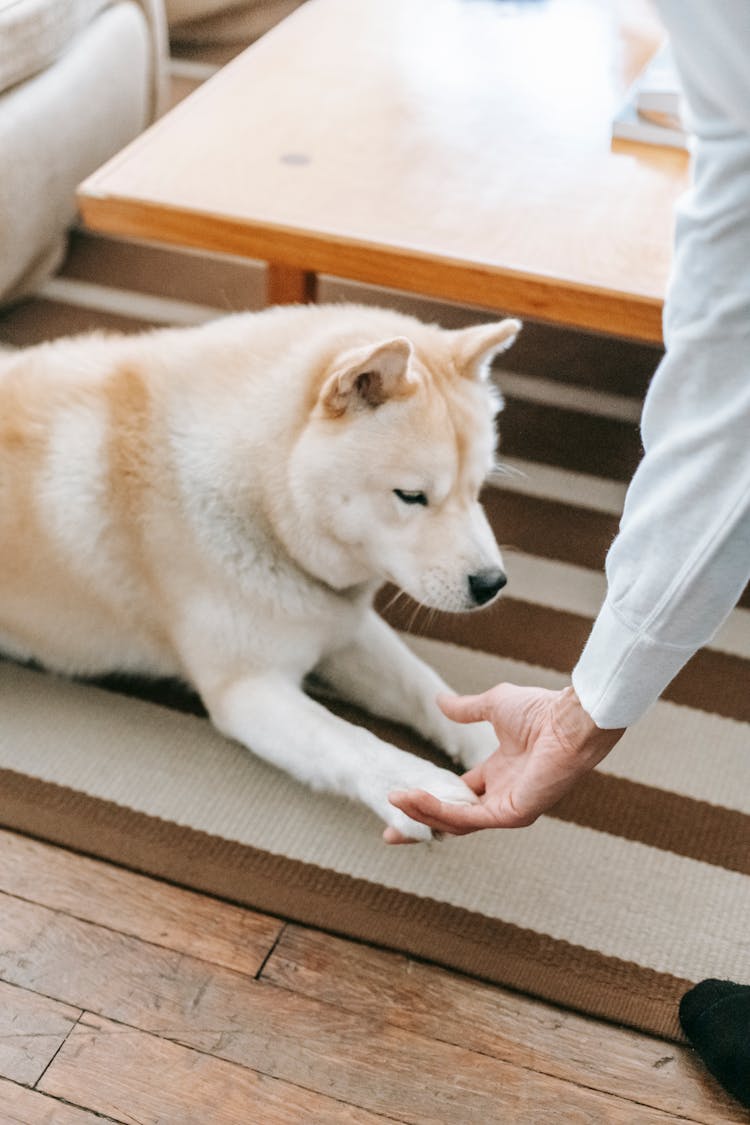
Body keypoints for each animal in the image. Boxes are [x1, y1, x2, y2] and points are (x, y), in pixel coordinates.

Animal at [0, 303, 519, 841]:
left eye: (477, 489)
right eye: (412, 496)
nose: (491, 584)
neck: (260, 501)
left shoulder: (342, 628)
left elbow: (426, 689)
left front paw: (492, 738)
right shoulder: (248, 688)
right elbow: (344, 739)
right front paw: (416, 788)